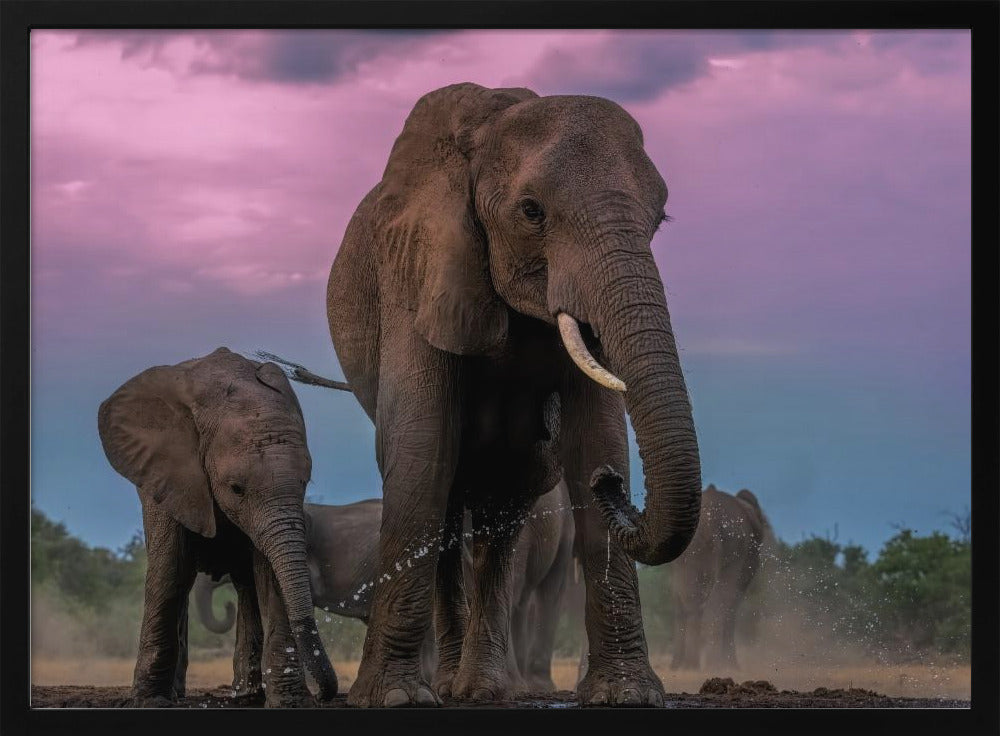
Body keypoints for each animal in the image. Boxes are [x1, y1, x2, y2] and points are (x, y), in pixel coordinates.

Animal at [97, 347, 337, 707]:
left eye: (305, 482)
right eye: (236, 488)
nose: (323, 694)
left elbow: (269, 576)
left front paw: (290, 703)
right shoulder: (169, 475)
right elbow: (171, 570)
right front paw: (150, 701)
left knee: (247, 587)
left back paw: (247, 695)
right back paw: (178, 694)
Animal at [324, 82, 702, 707]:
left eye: (660, 218)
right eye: (531, 212)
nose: (611, 486)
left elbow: (597, 436)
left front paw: (627, 693)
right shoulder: (415, 267)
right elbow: (422, 447)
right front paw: (394, 698)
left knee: (505, 511)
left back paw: (481, 688)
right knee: (449, 497)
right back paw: (449, 686)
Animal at [668, 484, 771, 671]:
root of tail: (707, 524)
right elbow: (732, 600)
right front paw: (731, 666)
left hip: (687, 555)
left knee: (687, 599)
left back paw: (688, 666)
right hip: (730, 548)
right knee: (719, 599)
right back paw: (713, 665)